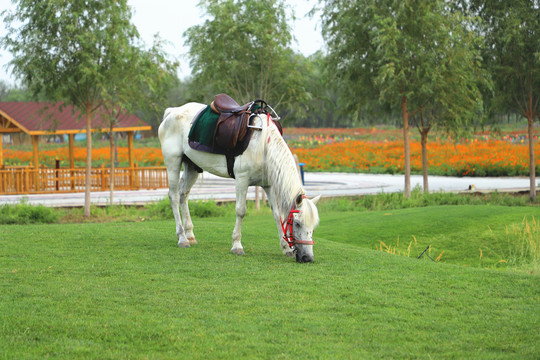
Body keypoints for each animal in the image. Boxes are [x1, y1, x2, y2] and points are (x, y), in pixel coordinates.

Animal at [159, 101, 320, 262]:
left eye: (313, 226)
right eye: (297, 223)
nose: (307, 257)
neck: (263, 144)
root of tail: (172, 112)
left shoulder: (268, 185)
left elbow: (277, 214)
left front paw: (286, 248)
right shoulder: (242, 180)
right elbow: (241, 211)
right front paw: (237, 245)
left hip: (192, 166)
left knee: (183, 195)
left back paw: (190, 235)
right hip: (173, 163)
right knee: (174, 197)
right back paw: (182, 238)